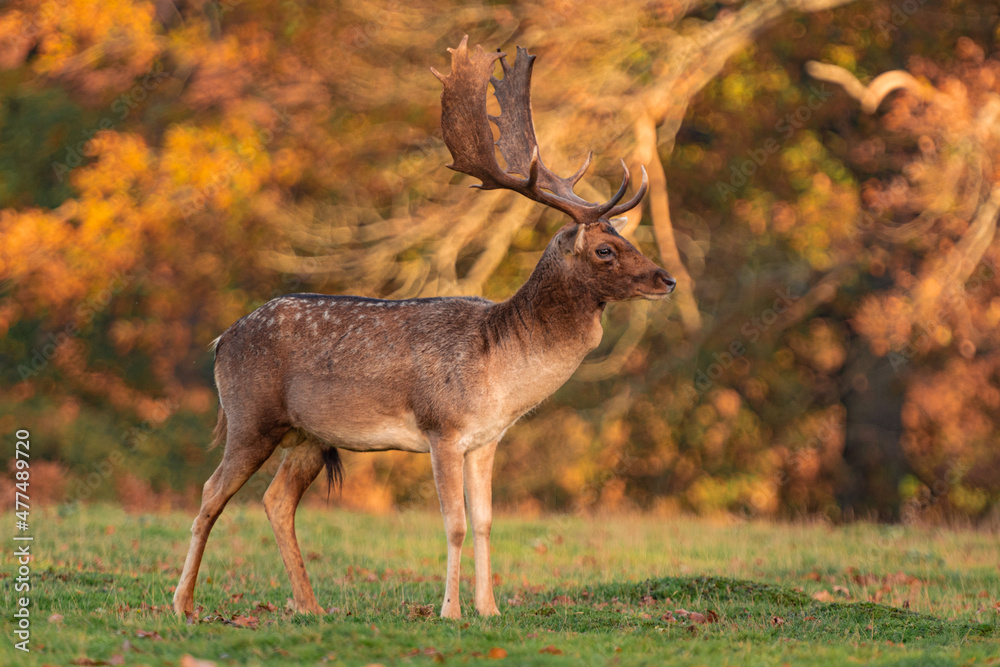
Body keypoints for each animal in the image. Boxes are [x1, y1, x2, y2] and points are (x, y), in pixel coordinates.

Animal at [172, 36, 675, 621]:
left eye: (627, 237)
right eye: (604, 250)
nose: (666, 279)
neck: (500, 369)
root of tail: (220, 340)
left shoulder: (486, 439)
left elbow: (485, 524)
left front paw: (490, 610)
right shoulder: (443, 428)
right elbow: (454, 524)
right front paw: (450, 611)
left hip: (309, 436)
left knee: (276, 501)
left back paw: (309, 606)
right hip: (250, 416)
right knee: (210, 494)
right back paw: (183, 603)